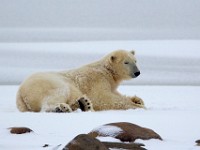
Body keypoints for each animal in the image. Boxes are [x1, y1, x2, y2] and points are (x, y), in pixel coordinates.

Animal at [15, 49, 144, 112]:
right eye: (126, 62)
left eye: (135, 61)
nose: (137, 72)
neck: (107, 72)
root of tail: (20, 93)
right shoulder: (96, 80)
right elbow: (102, 98)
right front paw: (138, 107)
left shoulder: (110, 84)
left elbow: (116, 94)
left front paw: (138, 100)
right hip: (46, 83)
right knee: (57, 94)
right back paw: (64, 108)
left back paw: (83, 104)